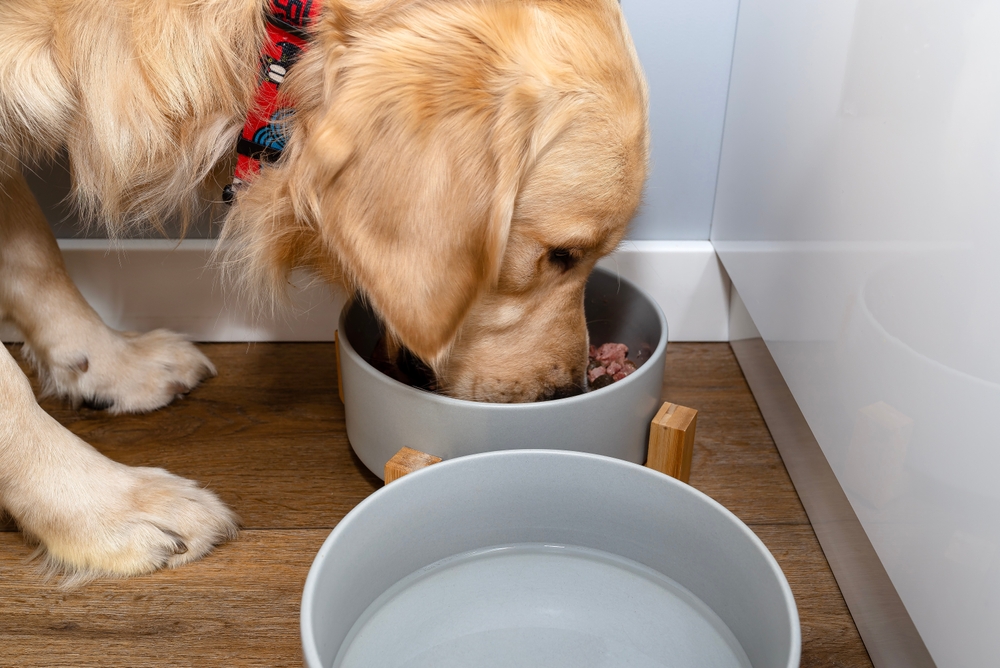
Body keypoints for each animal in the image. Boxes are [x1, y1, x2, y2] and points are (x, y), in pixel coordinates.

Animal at [0, 0, 648, 580]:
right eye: (561, 255)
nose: (566, 393)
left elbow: (36, 257)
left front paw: (103, 362)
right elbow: (11, 393)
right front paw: (106, 509)